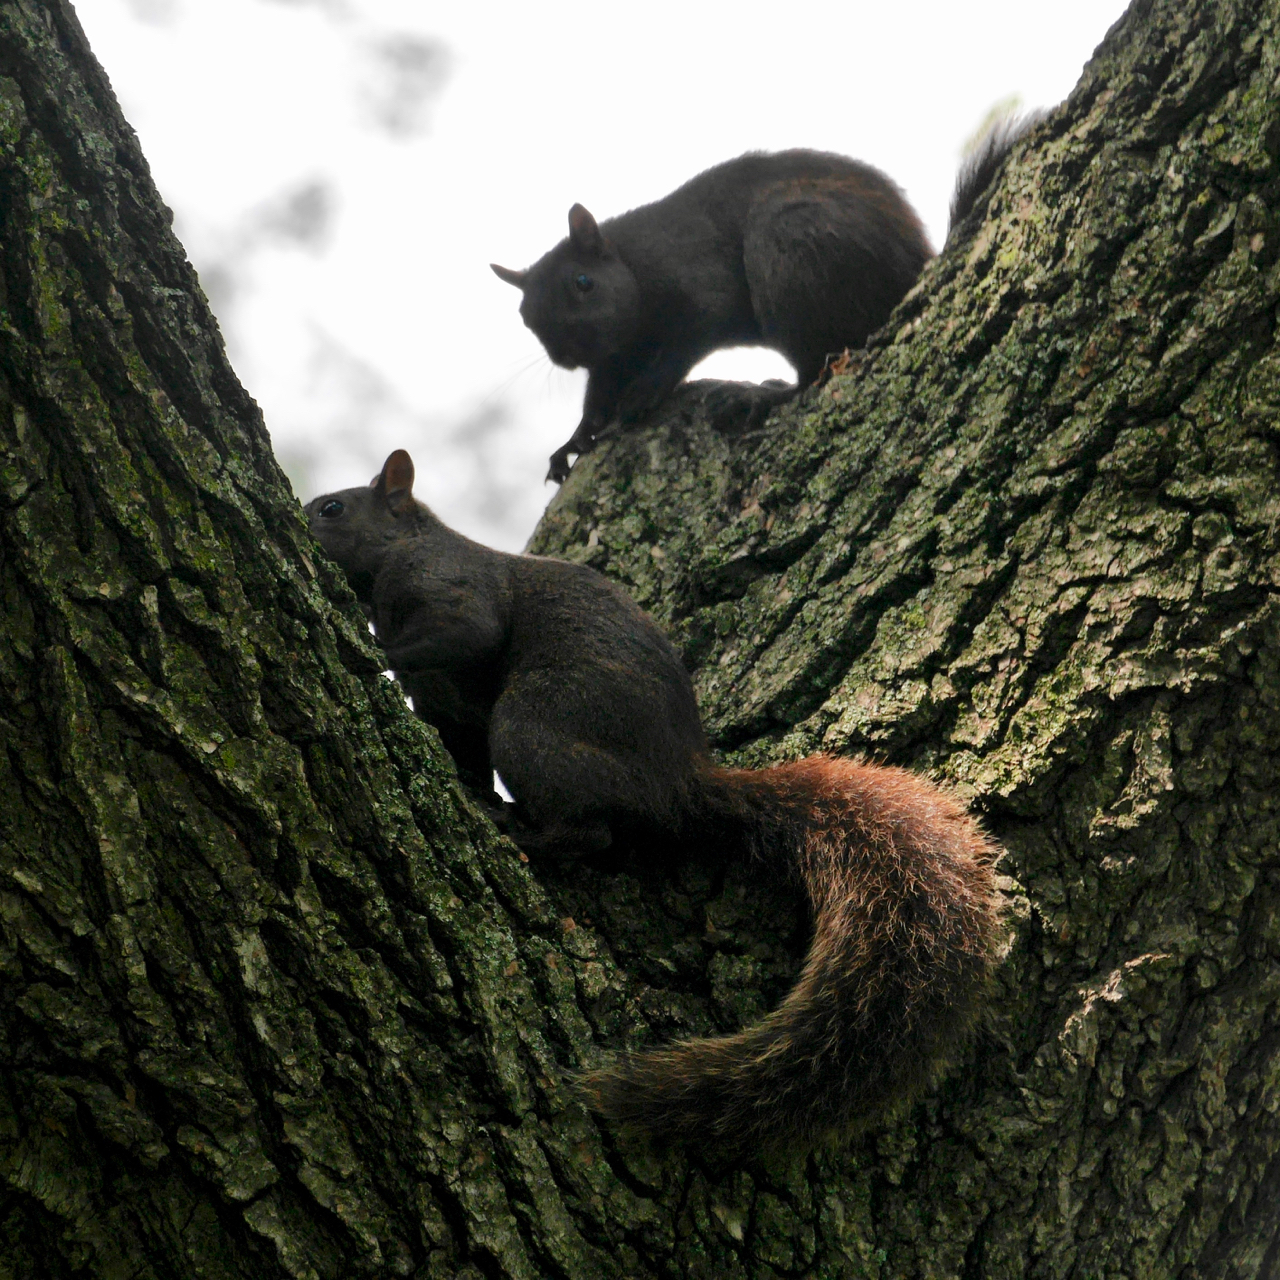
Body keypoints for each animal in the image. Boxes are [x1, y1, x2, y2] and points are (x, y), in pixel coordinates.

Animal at [305, 449, 1006, 1154]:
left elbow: (469, 633)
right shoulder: (449, 710)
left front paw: (380, 652)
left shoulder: (450, 582)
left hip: (533, 723)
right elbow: (458, 739)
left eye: (333, 508)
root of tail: (680, 784)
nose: (303, 519)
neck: (403, 545)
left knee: (591, 832)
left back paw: (521, 830)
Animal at [493, 118, 1037, 482]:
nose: (565, 353)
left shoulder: (695, 277)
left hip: (790, 251)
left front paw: (646, 390)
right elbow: (599, 393)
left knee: (815, 369)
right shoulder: (614, 354)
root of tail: (916, 269)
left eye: (583, 282)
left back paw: (765, 395)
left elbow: (691, 334)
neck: (632, 261)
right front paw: (575, 439)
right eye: (524, 316)